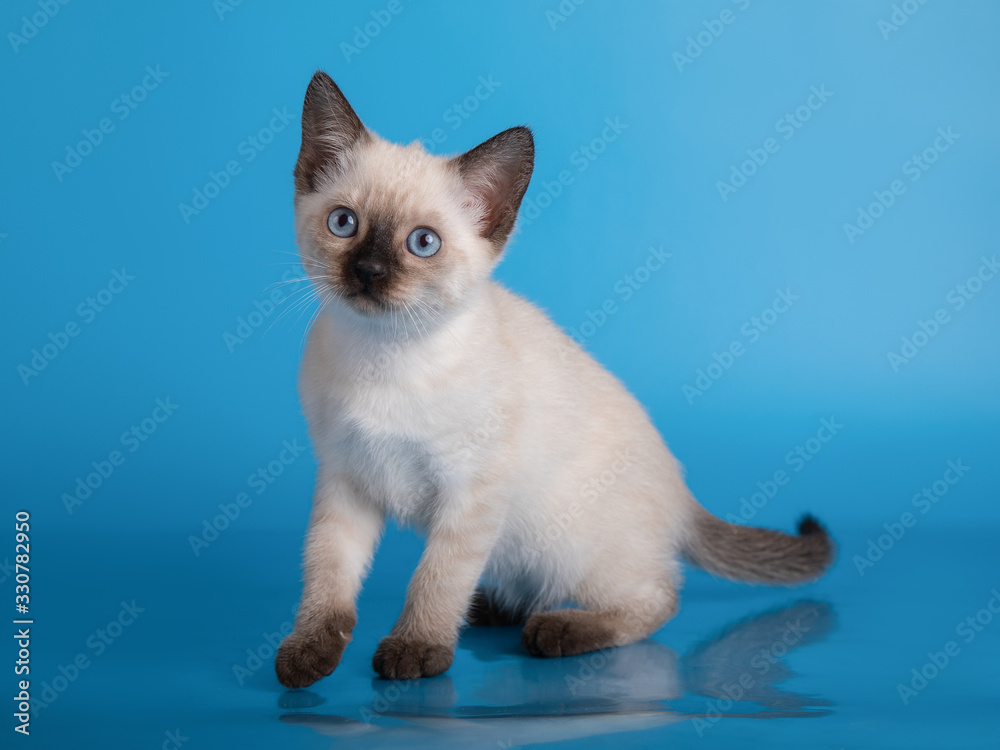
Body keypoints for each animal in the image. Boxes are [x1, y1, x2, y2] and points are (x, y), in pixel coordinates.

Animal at [272, 73, 828, 692]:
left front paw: (415, 652)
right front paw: (306, 657)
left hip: (564, 546)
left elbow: (436, 578)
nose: (368, 273)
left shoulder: (470, 495)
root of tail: (683, 494)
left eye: (422, 243)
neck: (385, 355)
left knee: (659, 597)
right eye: (344, 223)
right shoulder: (345, 480)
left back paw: (555, 629)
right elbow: (327, 579)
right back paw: (491, 609)